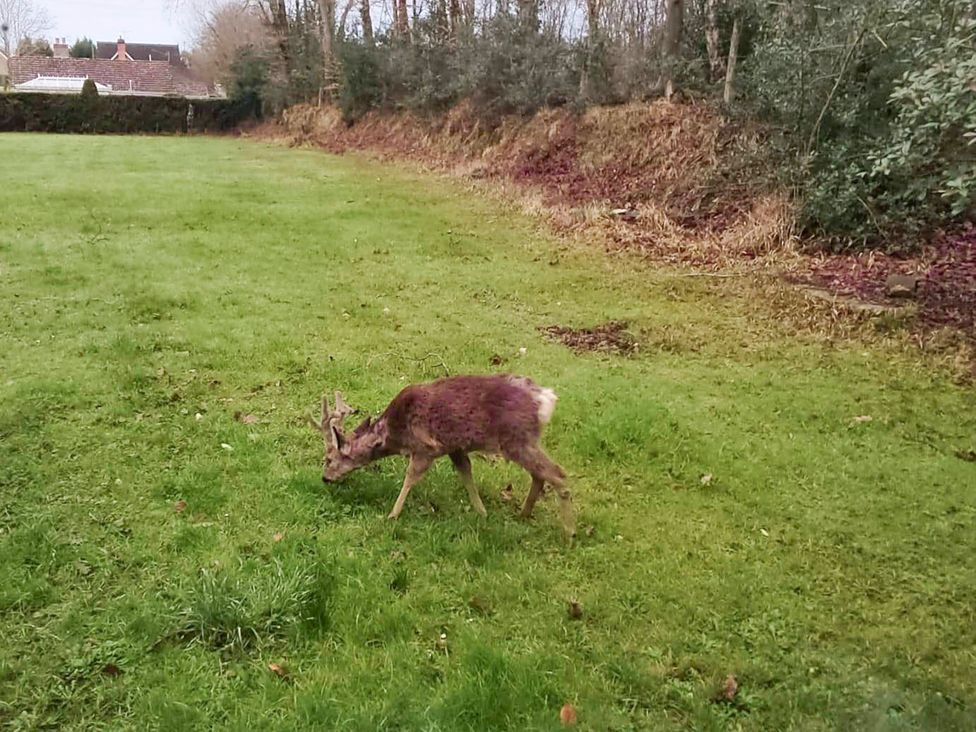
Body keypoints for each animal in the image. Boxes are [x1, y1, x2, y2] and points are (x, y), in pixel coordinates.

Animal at [308, 374, 575, 536]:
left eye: (329, 459)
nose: (325, 478)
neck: (395, 433)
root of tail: (546, 400)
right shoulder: (454, 448)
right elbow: (466, 473)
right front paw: (482, 512)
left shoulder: (426, 447)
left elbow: (410, 478)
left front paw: (392, 515)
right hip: (522, 442)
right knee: (540, 475)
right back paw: (523, 514)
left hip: (518, 438)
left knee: (558, 474)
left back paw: (569, 533)